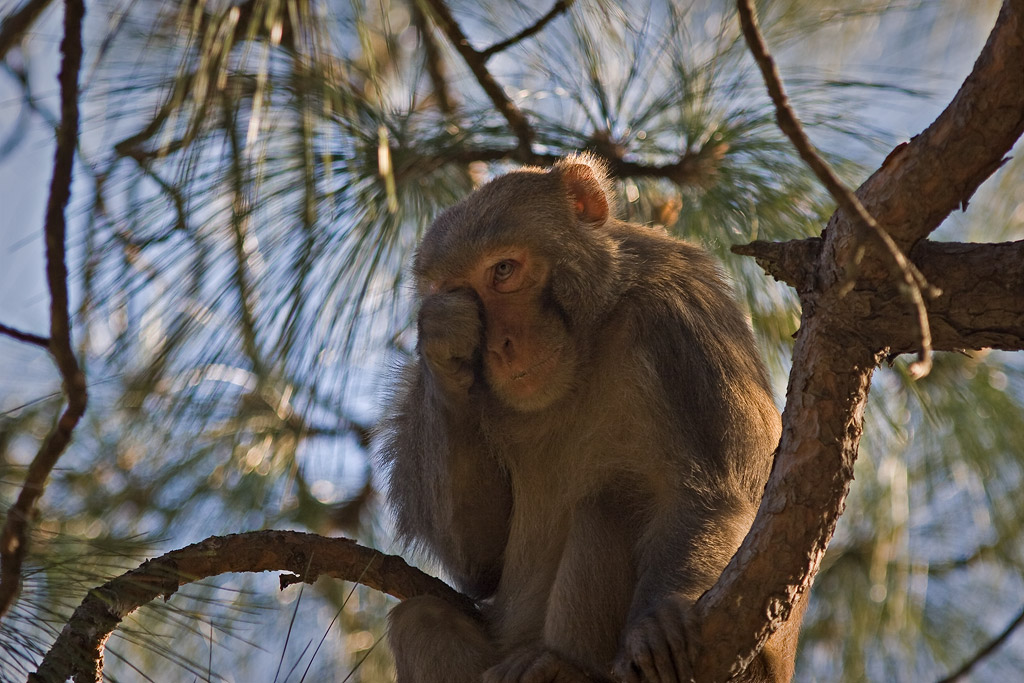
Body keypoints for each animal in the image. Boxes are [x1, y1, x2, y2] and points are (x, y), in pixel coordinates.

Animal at [372, 154, 802, 683]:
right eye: (458, 290)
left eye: (503, 270)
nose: (499, 348)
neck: (589, 336)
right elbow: (481, 564)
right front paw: (447, 343)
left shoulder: (679, 317)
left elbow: (714, 495)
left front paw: (656, 620)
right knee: (421, 620)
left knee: (610, 502)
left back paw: (562, 665)